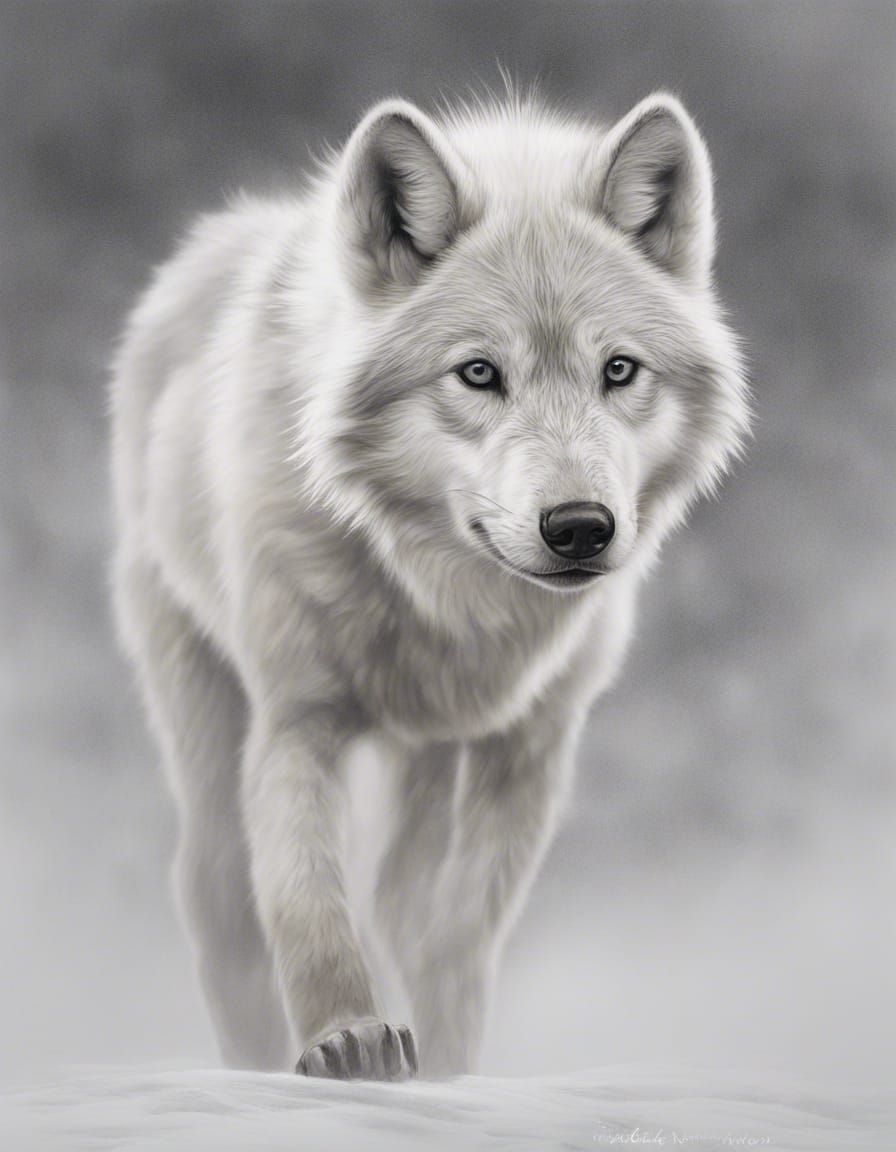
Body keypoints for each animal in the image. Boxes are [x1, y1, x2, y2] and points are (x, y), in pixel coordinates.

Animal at [111, 89, 749, 1080]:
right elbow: (305, 896)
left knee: (399, 898)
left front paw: (450, 1063)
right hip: (203, 716)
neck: (453, 601)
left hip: (429, 755)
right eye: (479, 372)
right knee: (217, 897)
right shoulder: (297, 720)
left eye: (619, 370)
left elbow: (454, 935)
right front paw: (345, 1039)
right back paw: (249, 1062)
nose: (579, 527)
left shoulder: (530, 744)